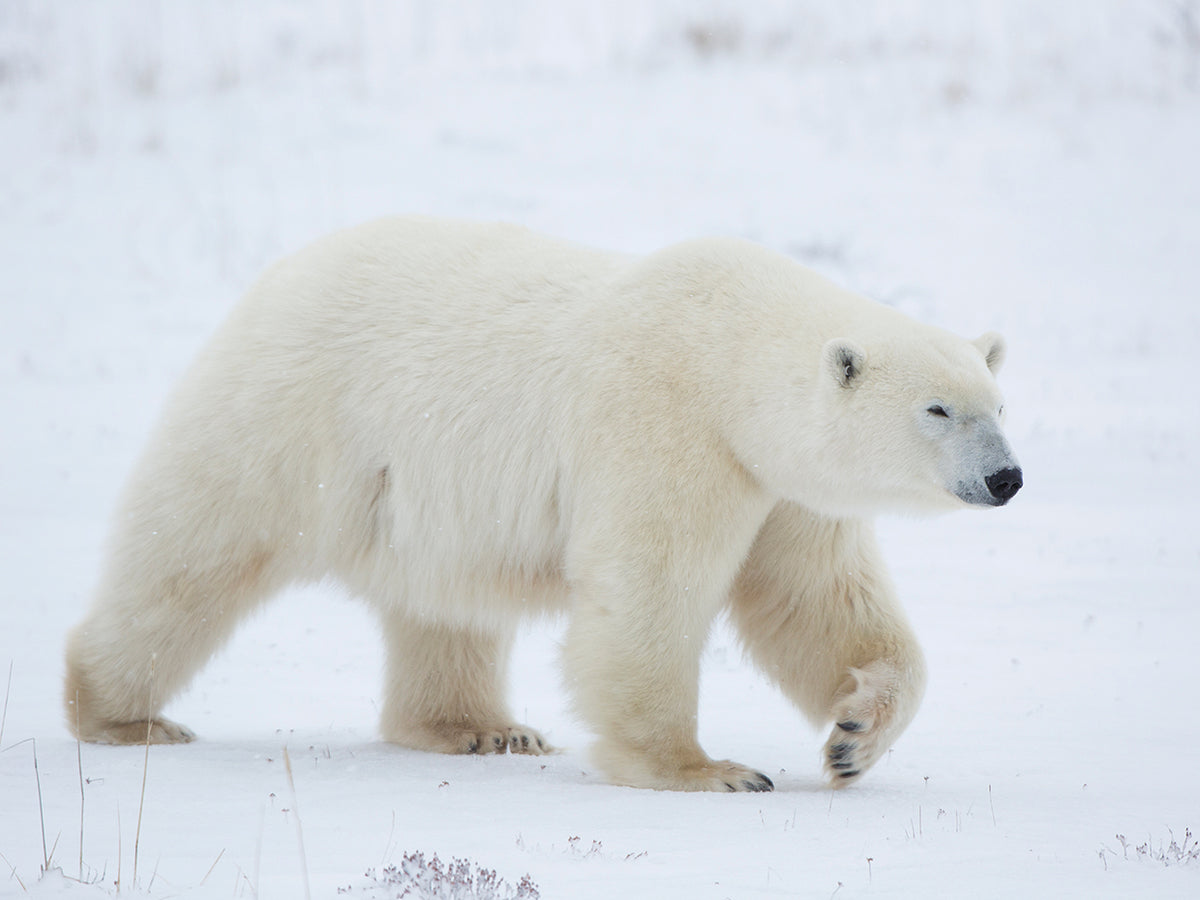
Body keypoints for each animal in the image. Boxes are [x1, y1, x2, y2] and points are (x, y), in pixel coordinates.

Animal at [64, 217, 1022, 792]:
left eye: (998, 404)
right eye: (938, 410)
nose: (1006, 479)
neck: (724, 353)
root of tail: (276, 278)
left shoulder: (779, 484)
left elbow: (814, 602)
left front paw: (854, 735)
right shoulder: (667, 425)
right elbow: (648, 590)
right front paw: (705, 769)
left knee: (443, 606)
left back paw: (480, 730)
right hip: (289, 419)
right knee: (192, 553)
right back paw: (119, 714)